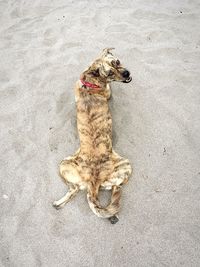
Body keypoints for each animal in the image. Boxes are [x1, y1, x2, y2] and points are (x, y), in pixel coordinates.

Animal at [52, 47, 132, 224]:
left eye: (117, 61)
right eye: (110, 73)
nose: (127, 73)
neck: (90, 81)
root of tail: (93, 180)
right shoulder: (108, 91)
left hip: (64, 164)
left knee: (74, 189)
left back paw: (58, 204)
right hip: (127, 164)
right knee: (116, 186)